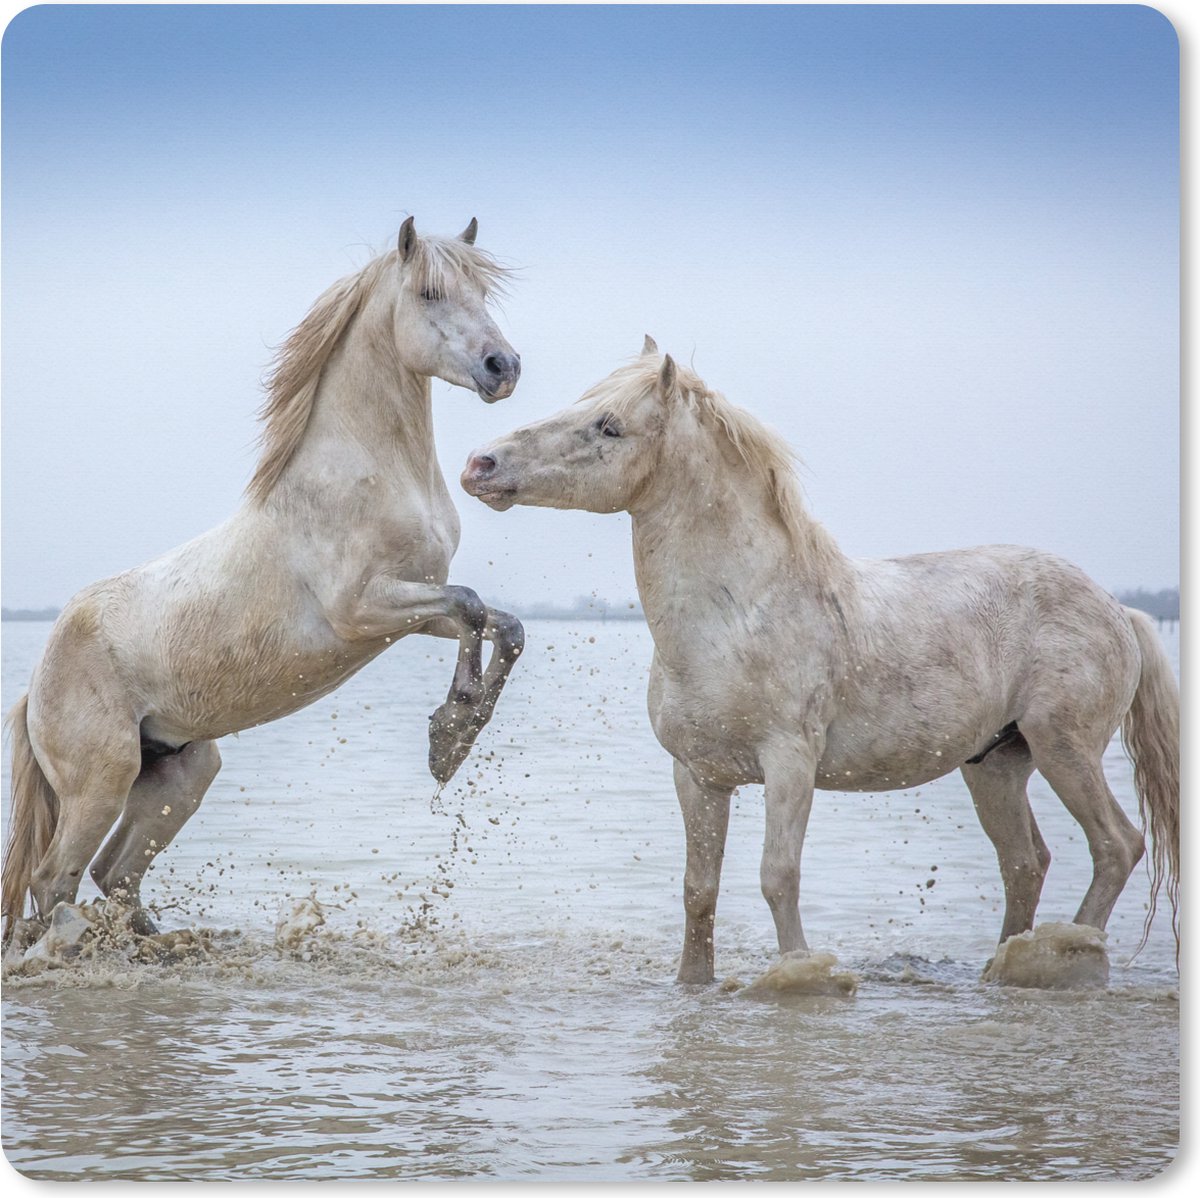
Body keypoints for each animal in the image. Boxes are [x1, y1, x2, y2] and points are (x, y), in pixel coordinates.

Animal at [3, 217, 527, 946]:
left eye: (481, 291)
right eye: (429, 293)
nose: (503, 368)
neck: (364, 473)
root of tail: (35, 688)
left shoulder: (412, 613)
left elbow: (501, 624)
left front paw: (454, 736)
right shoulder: (363, 611)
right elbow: (474, 605)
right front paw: (449, 737)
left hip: (183, 771)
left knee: (115, 874)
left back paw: (157, 944)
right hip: (101, 782)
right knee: (56, 879)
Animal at [462, 337, 1179, 984]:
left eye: (608, 425)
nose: (480, 463)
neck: (739, 613)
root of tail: (1119, 611)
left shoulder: (790, 763)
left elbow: (778, 877)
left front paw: (801, 974)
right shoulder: (698, 776)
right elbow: (699, 889)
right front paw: (693, 983)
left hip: (1065, 748)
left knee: (1116, 846)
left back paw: (1071, 952)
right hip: (997, 765)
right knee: (1026, 864)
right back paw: (1001, 970)